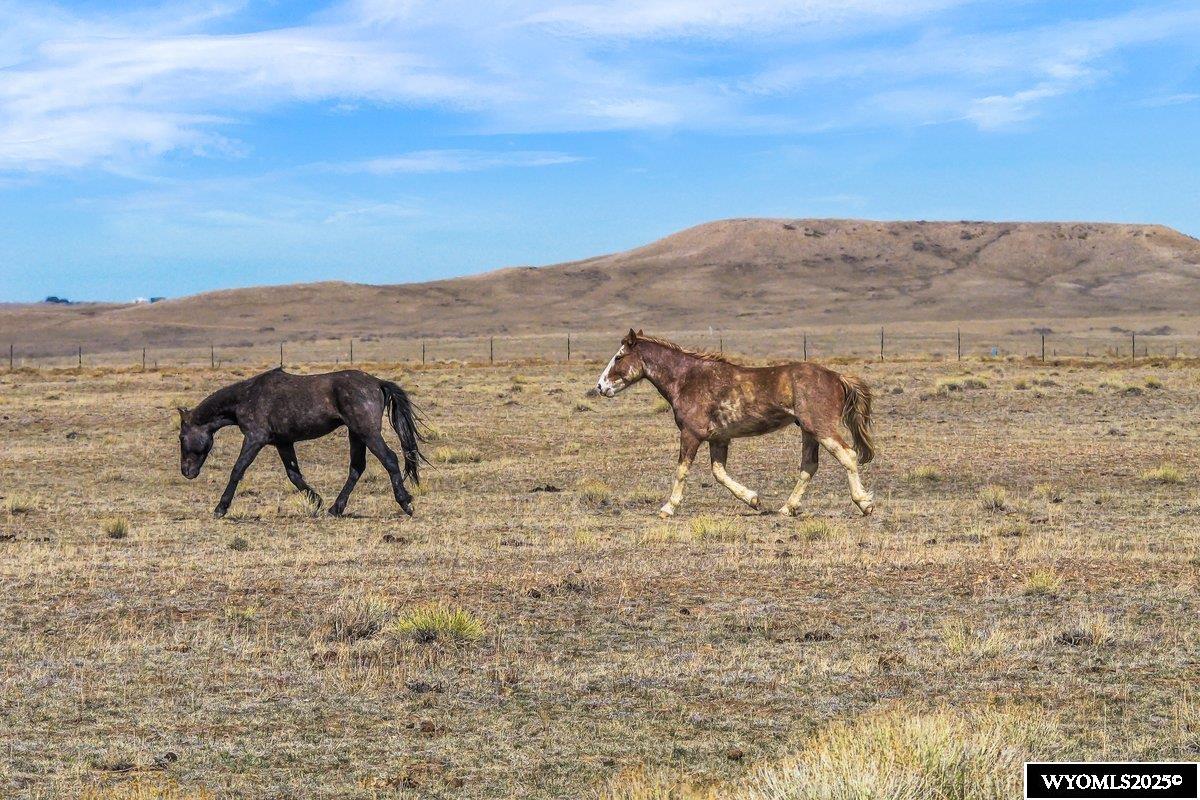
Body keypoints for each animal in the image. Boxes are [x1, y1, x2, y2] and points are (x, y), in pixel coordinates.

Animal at [177, 367, 425, 518]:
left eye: (181, 437)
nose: (186, 472)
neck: (246, 397)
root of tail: (377, 382)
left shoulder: (255, 438)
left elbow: (238, 469)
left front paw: (220, 508)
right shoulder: (283, 443)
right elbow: (294, 474)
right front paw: (317, 500)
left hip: (367, 433)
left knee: (389, 459)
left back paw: (406, 503)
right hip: (356, 434)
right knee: (357, 468)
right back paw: (335, 508)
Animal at [595, 330, 875, 518]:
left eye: (619, 357)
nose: (600, 386)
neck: (688, 380)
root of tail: (837, 376)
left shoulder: (691, 434)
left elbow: (682, 470)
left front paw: (668, 508)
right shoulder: (719, 438)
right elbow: (719, 473)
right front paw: (754, 500)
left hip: (821, 428)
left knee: (848, 455)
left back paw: (865, 503)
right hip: (808, 431)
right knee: (809, 466)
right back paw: (787, 508)